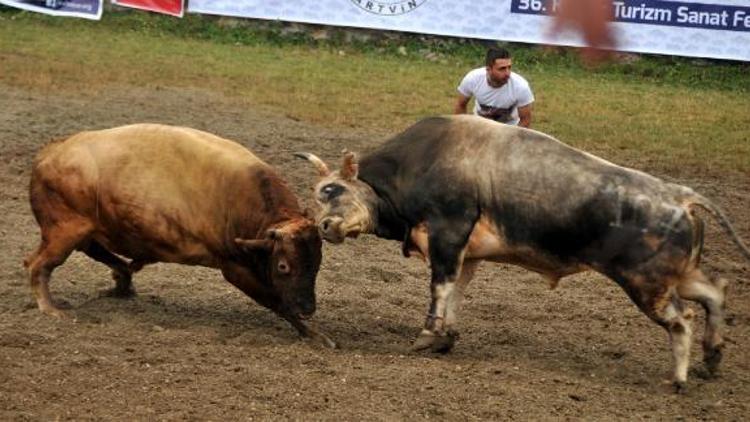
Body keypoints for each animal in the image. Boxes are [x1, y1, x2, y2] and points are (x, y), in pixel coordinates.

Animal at [300, 114, 750, 390]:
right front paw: (446, 336)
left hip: (648, 284)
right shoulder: (467, 251)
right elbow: (457, 289)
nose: (324, 227)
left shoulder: (448, 231)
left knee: (682, 319)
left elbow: (440, 286)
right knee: (715, 291)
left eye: (332, 190)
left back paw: (679, 378)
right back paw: (712, 357)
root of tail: (679, 195)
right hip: (678, 275)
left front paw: (428, 336)